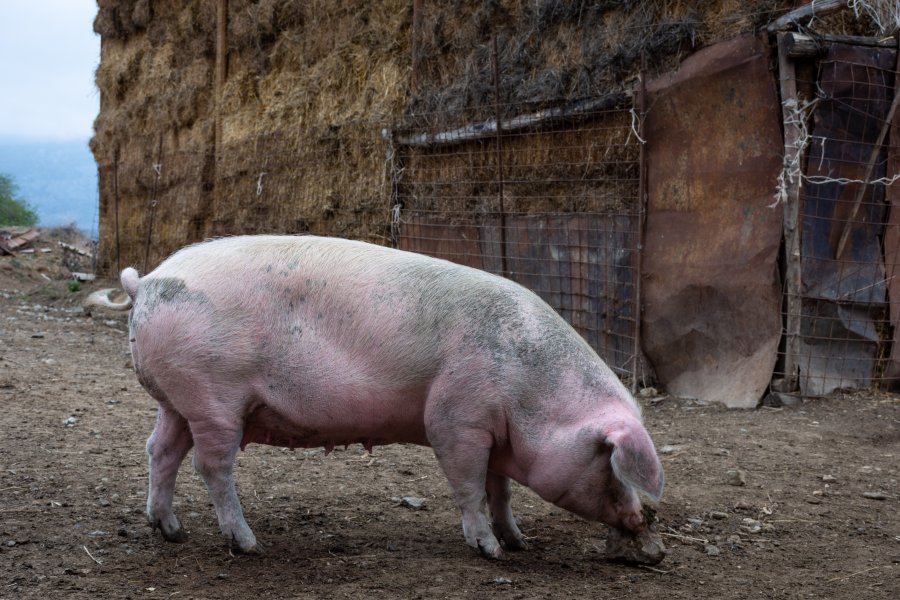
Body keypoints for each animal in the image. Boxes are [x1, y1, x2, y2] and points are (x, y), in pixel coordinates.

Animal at [107, 233, 668, 564]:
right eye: (612, 460)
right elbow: (469, 486)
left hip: (178, 400)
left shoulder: (496, 432)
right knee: (211, 465)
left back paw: (171, 531)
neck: (533, 391)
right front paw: (490, 552)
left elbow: (500, 489)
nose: (647, 529)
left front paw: (519, 541)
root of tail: (146, 282)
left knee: (160, 450)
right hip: (213, 395)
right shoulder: (456, 418)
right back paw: (247, 544)